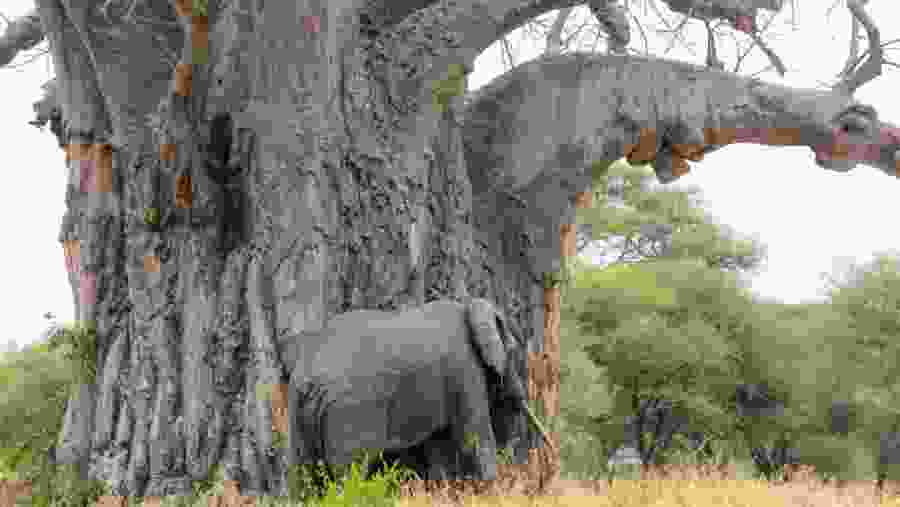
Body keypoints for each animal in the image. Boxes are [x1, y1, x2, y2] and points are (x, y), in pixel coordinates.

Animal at [275, 298, 553, 482]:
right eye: (515, 352)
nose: (552, 454)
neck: (469, 307)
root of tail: (310, 376)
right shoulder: (464, 368)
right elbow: (473, 437)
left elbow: (438, 445)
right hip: (348, 413)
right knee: (350, 470)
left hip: (298, 410)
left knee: (302, 473)